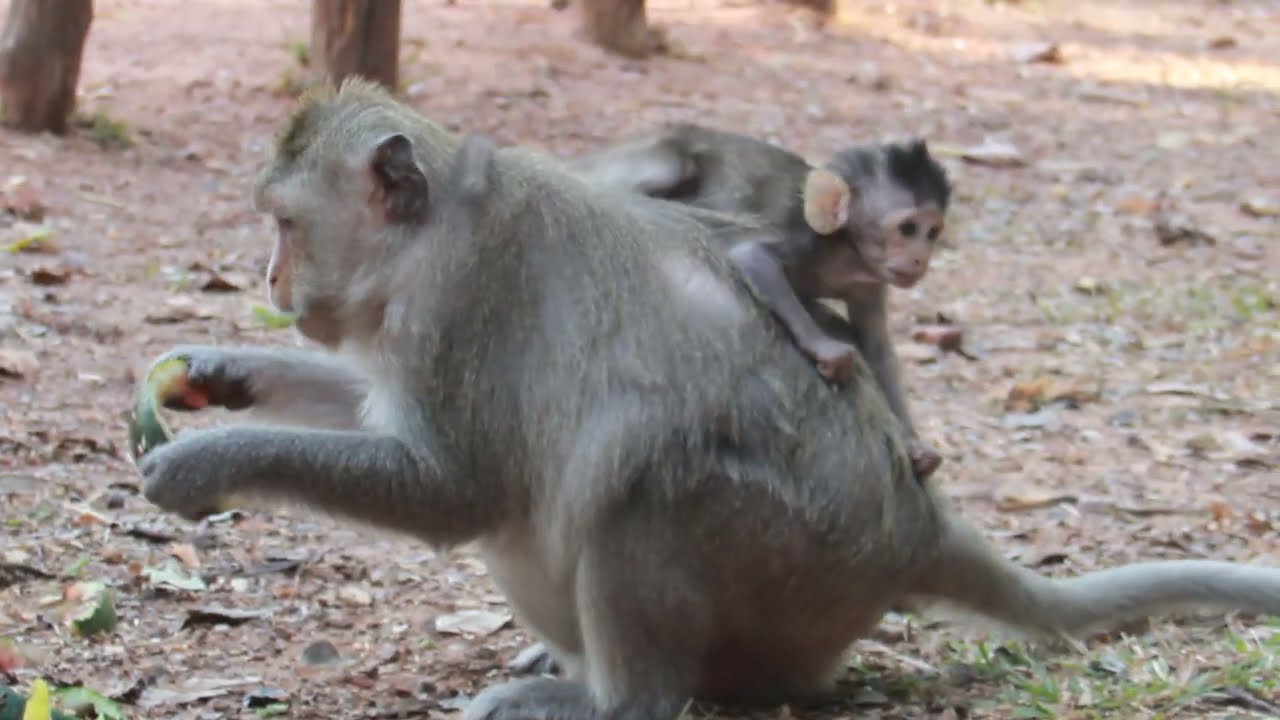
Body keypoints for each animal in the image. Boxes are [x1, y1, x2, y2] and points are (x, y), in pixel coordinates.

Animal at [571, 123, 950, 483]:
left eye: (931, 233)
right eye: (908, 228)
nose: (921, 258)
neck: (846, 249)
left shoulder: (871, 280)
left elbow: (876, 347)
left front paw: (914, 445)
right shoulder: (803, 235)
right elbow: (753, 256)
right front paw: (826, 349)